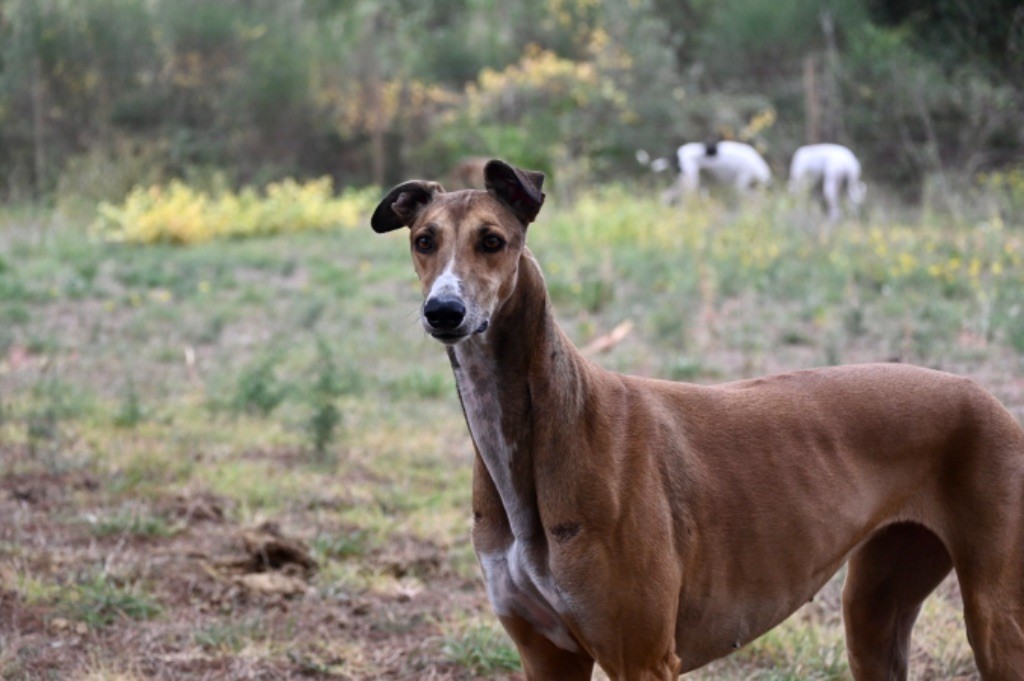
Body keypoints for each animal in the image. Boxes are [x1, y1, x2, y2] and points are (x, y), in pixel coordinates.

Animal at [372, 160, 1024, 679]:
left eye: (492, 240)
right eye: (424, 240)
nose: (444, 311)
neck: (549, 425)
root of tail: (989, 398)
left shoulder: (643, 658)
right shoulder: (546, 655)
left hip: (997, 623)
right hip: (872, 611)